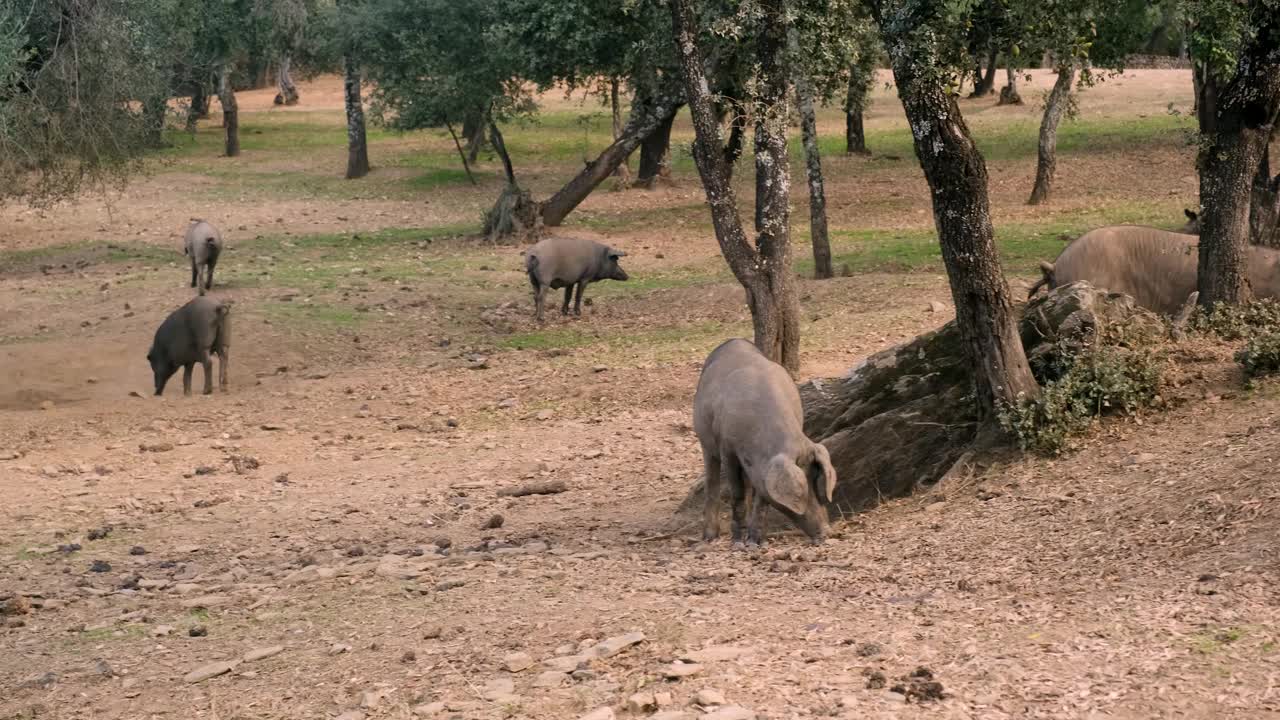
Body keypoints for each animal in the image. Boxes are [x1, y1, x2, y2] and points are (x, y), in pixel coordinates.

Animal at [691, 335, 839, 543]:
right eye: (800, 491)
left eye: (817, 480)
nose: (827, 531)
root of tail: (733, 340)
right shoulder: (727, 449)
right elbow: (737, 494)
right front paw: (738, 542)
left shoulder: (762, 468)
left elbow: (762, 499)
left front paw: (755, 542)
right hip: (705, 442)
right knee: (712, 483)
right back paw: (709, 537)